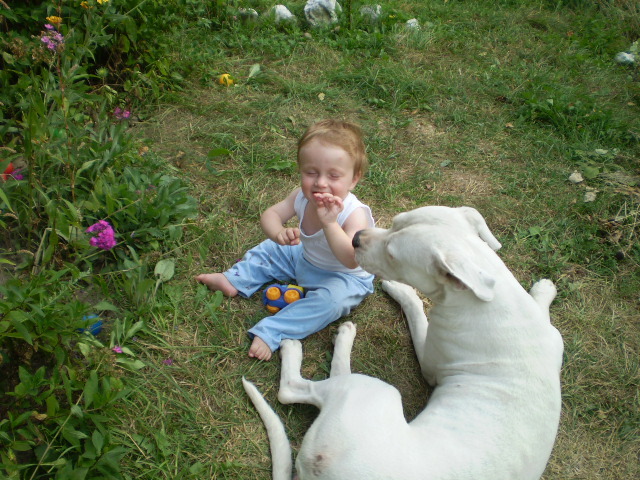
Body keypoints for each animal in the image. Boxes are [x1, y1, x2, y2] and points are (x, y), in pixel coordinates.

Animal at [242, 204, 564, 478]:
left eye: (393, 254)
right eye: (396, 221)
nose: (355, 237)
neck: (488, 297)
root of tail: (320, 466)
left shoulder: (429, 361)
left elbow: (415, 308)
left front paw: (401, 289)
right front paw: (544, 291)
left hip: (372, 392)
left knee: (295, 388)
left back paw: (319, 341)